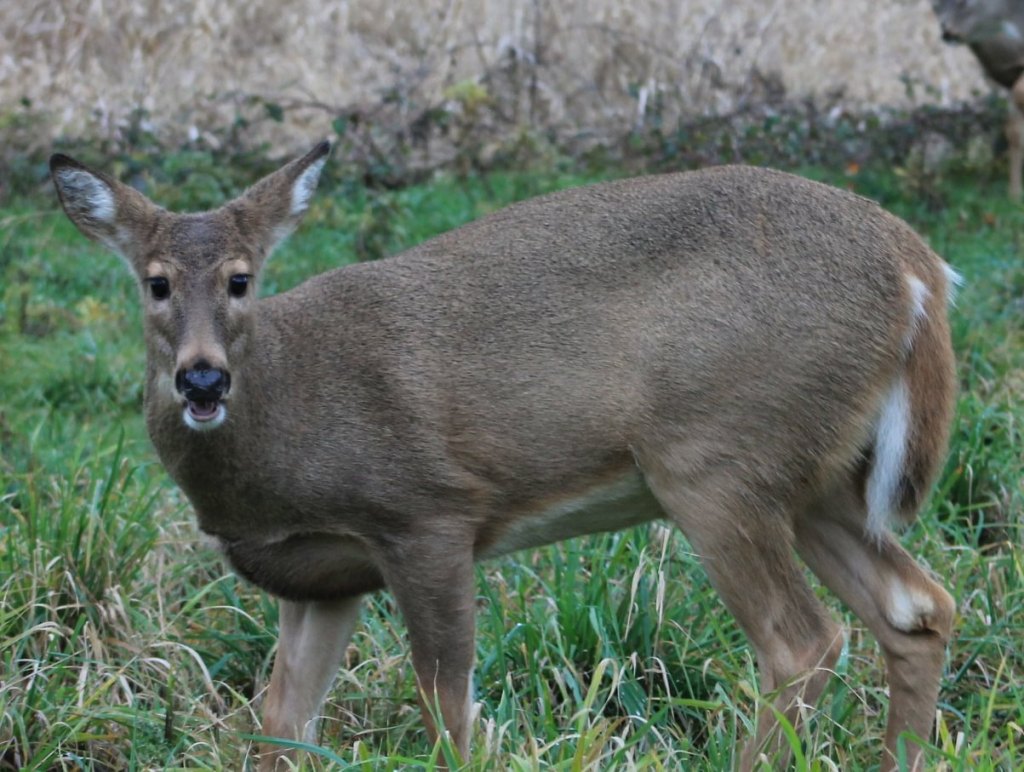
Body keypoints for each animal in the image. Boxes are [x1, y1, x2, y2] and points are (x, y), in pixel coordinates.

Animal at [50, 141, 959, 770]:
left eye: (241, 280)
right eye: (156, 282)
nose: (201, 376)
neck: (286, 413)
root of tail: (919, 272)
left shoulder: (425, 513)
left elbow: (448, 712)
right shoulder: (323, 576)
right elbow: (282, 725)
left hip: (717, 457)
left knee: (802, 642)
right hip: (816, 479)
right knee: (917, 608)